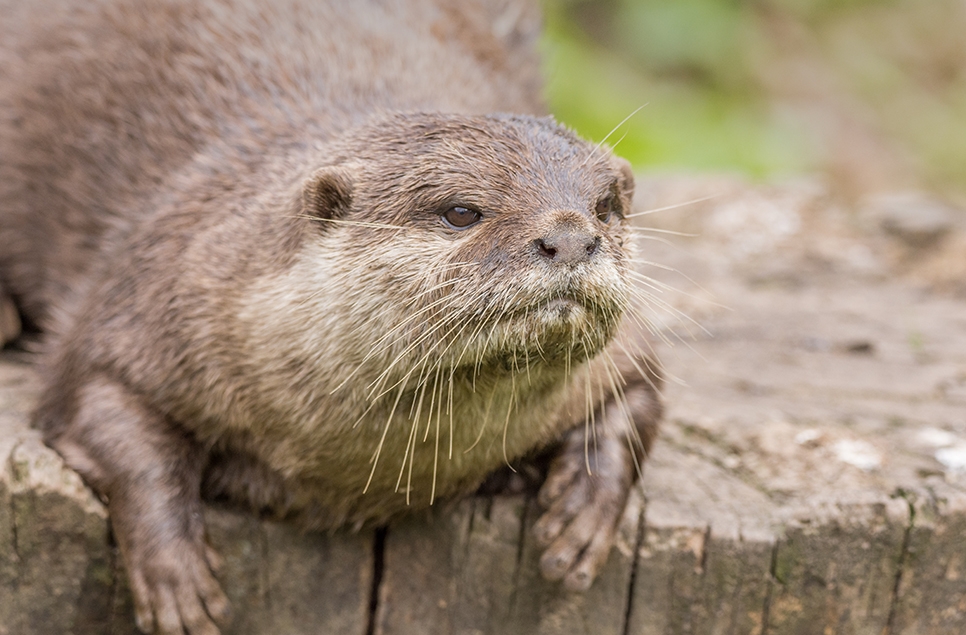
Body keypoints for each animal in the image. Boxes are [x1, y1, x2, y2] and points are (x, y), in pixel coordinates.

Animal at [0, 1, 664, 635]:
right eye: (461, 211)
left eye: (605, 207)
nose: (571, 236)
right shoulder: (143, 300)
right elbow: (103, 412)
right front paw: (175, 575)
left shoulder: (629, 347)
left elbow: (641, 395)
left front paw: (582, 515)